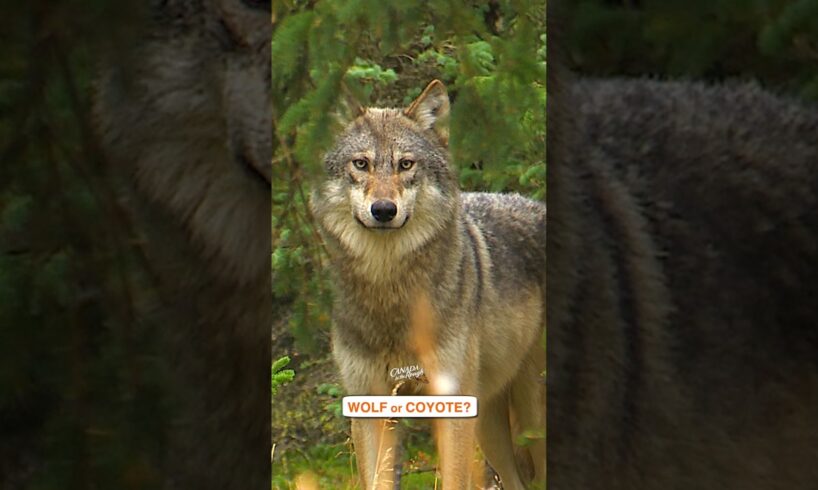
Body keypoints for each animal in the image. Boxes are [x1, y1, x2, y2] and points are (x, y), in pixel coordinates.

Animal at [311, 80, 547, 489]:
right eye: (361, 164)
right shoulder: (370, 405)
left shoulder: (452, 404)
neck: (390, 294)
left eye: (406, 164)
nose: (383, 210)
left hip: (531, 416)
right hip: (491, 427)